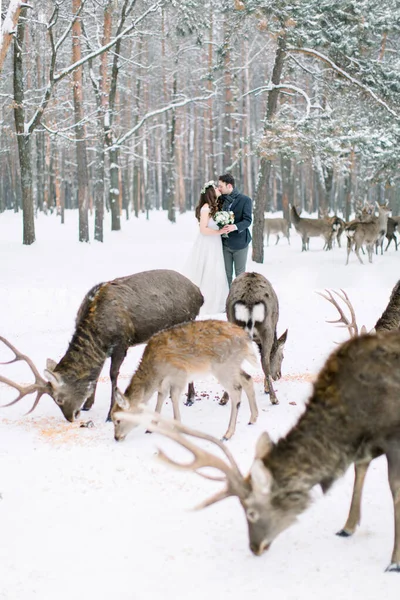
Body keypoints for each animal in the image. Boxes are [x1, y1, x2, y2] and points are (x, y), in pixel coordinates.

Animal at [0, 270, 203, 420]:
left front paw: (110, 414)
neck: (97, 332)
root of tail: (199, 294)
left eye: (58, 399)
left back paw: (190, 398)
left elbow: (113, 375)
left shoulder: (121, 343)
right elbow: (96, 374)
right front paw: (88, 404)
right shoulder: (104, 350)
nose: (71, 417)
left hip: (187, 320)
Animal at [110, 318, 260, 440]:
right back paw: (252, 419)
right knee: (248, 379)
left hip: (223, 367)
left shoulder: (179, 374)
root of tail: (246, 339)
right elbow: (160, 398)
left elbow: (173, 397)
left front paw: (177, 427)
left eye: (118, 420)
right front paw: (150, 428)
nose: (116, 437)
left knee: (236, 392)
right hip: (233, 365)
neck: (155, 372)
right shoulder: (164, 383)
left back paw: (227, 434)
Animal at [222, 272, 288, 404]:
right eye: (282, 357)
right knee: (264, 361)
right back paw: (274, 398)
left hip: (232, 325)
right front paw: (266, 388)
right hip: (266, 329)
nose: (279, 375)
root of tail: (249, 302)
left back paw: (224, 398)